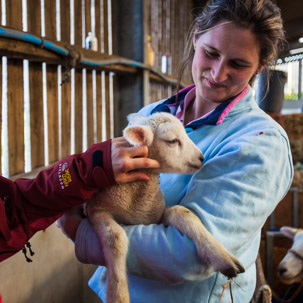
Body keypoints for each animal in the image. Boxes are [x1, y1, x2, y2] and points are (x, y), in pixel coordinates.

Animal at [84, 112, 246, 303]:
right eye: (172, 140)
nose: (201, 158)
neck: (136, 201)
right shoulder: (96, 210)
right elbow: (115, 237)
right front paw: (119, 295)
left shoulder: (156, 216)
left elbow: (182, 212)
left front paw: (223, 257)